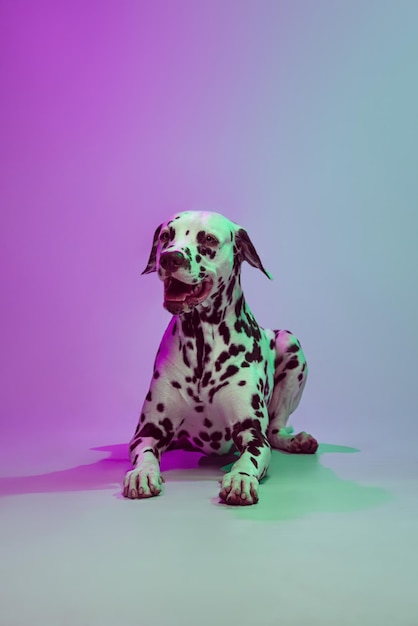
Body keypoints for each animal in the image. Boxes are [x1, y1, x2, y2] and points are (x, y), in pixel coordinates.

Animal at [123, 210, 316, 502]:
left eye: (209, 239)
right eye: (167, 235)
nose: (170, 257)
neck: (202, 343)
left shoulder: (251, 432)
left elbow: (251, 455)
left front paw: (241, 478)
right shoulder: (149, 431)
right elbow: (145, 453)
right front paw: (142, 473)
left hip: (290, 343)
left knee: (275, 430)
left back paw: (296, 440)